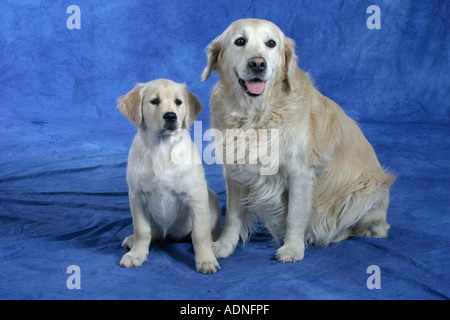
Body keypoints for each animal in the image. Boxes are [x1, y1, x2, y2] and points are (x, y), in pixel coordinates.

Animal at [117, 79, 221, 274]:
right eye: (154, 101)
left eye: (178, 102)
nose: (171, 116)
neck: (161, 148)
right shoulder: (137, 196)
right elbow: (142, 230)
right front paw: (136, 254)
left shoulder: (196, 195)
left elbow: (199, 233)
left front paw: (205, 259)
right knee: (153, 232)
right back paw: (132, 240)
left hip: (210, 197)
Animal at [202, 18, 396, 262]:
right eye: (239, 41)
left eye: (271, 43)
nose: (258, 64)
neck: (256, 116)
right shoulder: (235, 173)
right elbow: (233, 217)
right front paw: (224, 245)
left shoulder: (299, 173)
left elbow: (295, 215)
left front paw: (293, 248)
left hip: (364, 189)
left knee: (363, 228)